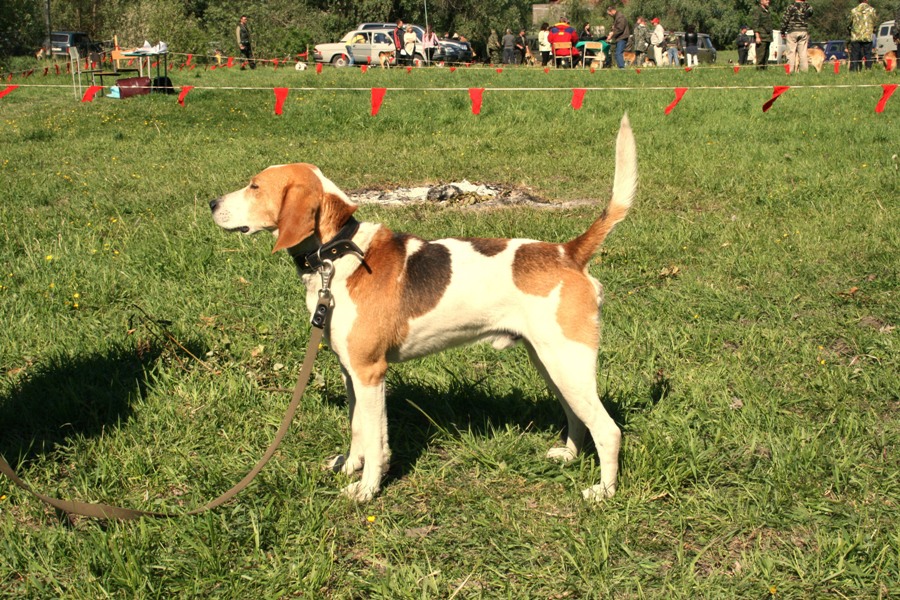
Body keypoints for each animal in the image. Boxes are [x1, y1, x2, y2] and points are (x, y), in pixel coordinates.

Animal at [208, 115, 636, 504]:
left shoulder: (370, 373)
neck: (336, 253)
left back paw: (604, 491)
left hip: (567, 363)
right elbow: (357, 430)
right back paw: (568, 455)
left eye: (255, 186)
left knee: (608, 430)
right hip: (550, 363)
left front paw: (365, 490)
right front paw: (349, 467)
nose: (211, 202)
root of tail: (568, 252)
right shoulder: (351, 371)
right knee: (577, 416)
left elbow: (376, 441)